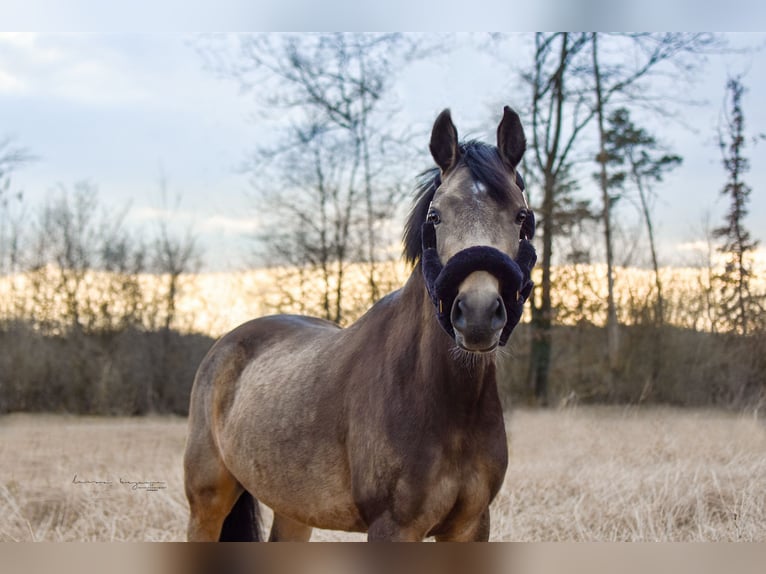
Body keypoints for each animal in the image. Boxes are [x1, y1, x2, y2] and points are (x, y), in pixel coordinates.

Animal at [183, 106, 536, 542]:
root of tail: (225, 344)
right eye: (436, 216)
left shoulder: (471, 525)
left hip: (294, 509)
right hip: (208, 501)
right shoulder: (392, 526)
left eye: (521, 216)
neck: (444, 400)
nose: (477, 313)